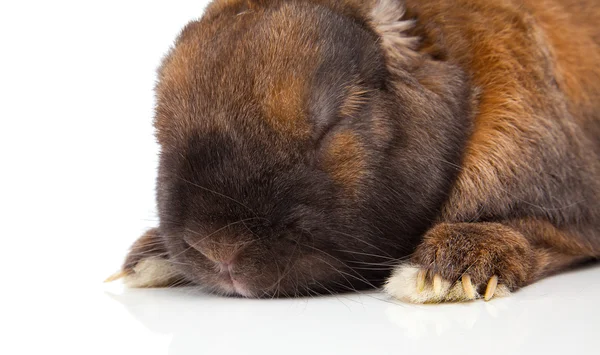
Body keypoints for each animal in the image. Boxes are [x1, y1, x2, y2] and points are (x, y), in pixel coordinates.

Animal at [106, 0, 600, 304]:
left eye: (331, 122)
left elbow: (525, 231)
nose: (217, 249)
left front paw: (441, 276)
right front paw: (149, 259)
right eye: (160, 131)